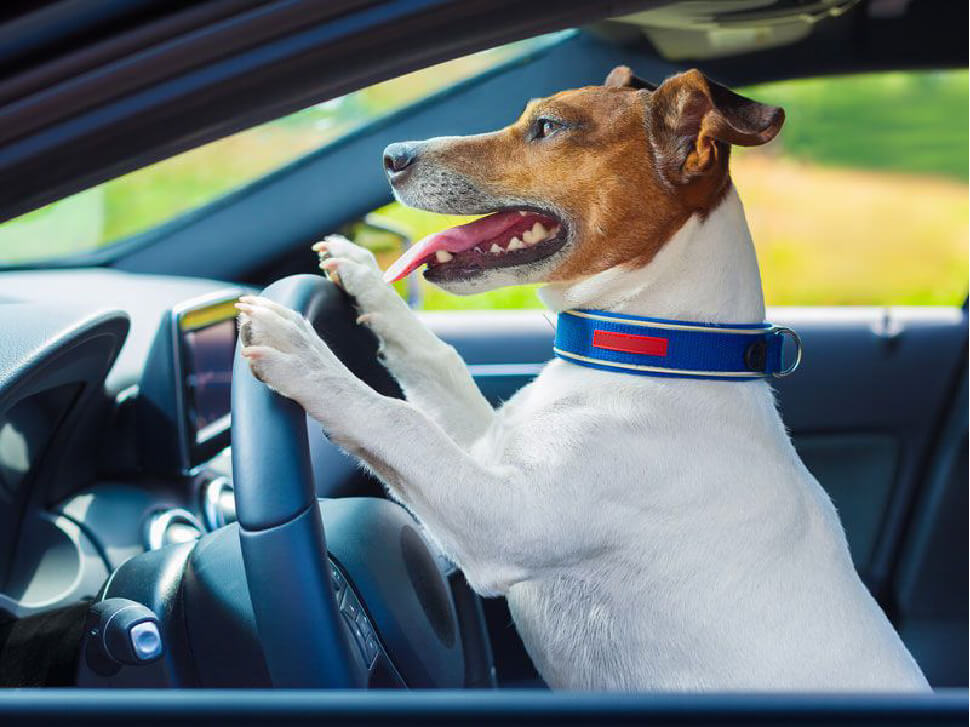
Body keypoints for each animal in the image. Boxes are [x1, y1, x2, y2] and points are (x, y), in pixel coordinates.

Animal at [236, 65, 932, 692]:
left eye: (547, 127)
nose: (390, 155)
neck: (655, 355)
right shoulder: (489, 444)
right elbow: (436, 358)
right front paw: (364, 273)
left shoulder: (500, 519)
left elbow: (396, 420)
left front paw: (303, 351)